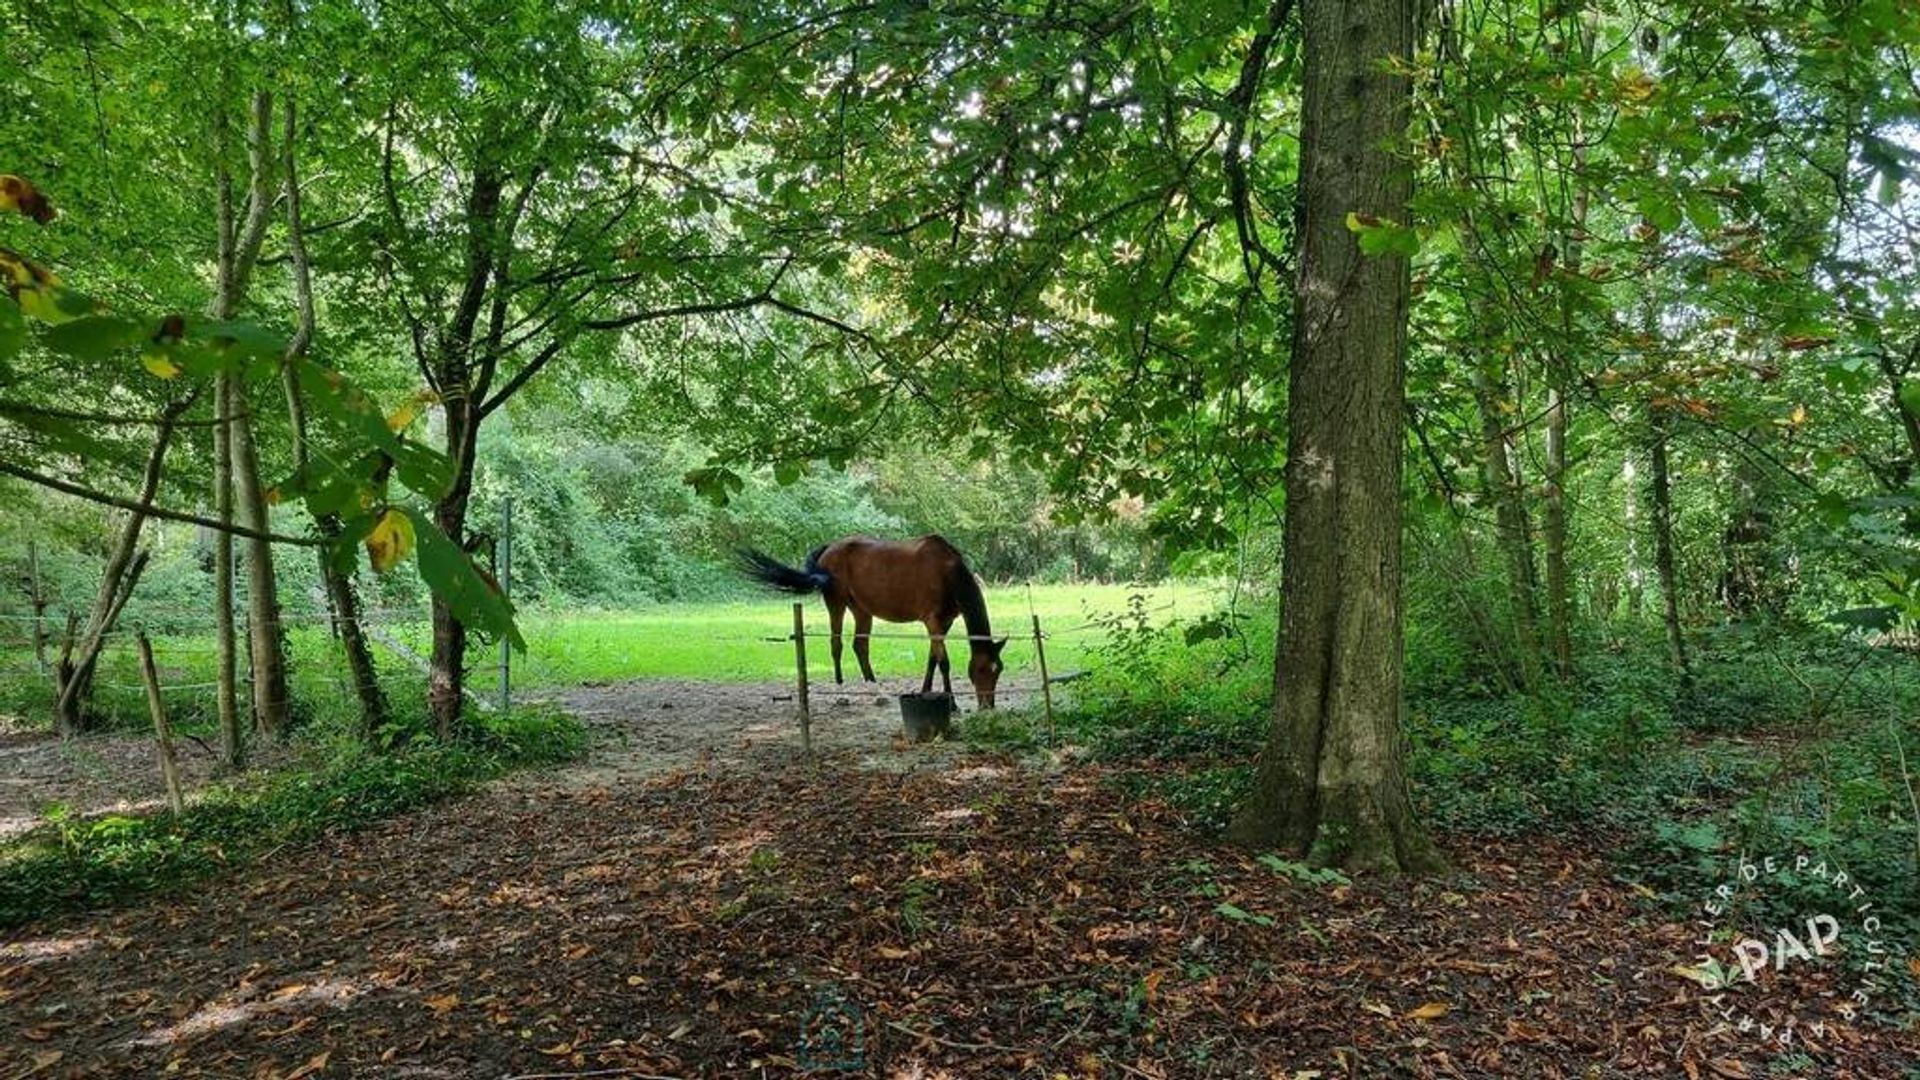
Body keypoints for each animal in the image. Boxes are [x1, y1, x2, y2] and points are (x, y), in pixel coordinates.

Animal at [733, 530, 1013, 703]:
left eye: (998, 670)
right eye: (979, 670)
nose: (988, 706)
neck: (947, 573)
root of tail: (829, 549)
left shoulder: (944, 623)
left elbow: (932, 660)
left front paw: (926, 692)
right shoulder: (933, 621)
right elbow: (943, 662)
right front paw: (952, 703)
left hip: (861, 610)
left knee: (860, 646)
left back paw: (876, 690)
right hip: (836, 603)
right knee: (837, 645)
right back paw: (842, 692)